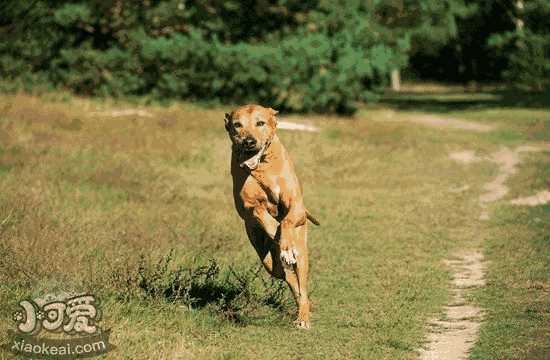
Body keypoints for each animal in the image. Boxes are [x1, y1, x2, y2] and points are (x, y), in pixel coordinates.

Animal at [223, 104, 320, 330]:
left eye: (260, 123)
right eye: (237, 125)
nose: (249, 142)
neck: (263, 166)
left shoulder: (296, 206)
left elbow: (286, 220)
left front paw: (285, 241)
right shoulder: (249, 207)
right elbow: (265, 217)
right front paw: (278, 236)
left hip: (303, 253)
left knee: (301, 281)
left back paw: (303, 316)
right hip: (266, 259)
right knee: (287, 277)